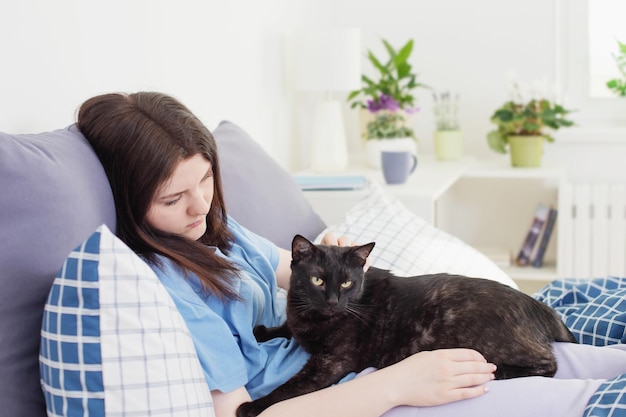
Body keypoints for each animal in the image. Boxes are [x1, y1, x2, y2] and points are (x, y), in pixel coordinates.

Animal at [235, 234, 576, 416]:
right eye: (318, 280)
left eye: (346, 282)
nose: (333, 301)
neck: (315, 317)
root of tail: (539, 307)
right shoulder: (300, 320)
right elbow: (287, 327)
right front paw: (263, 331)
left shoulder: (331, 363)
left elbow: (290, 387)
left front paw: (253, 406)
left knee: (548, 364)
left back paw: (497, 370)